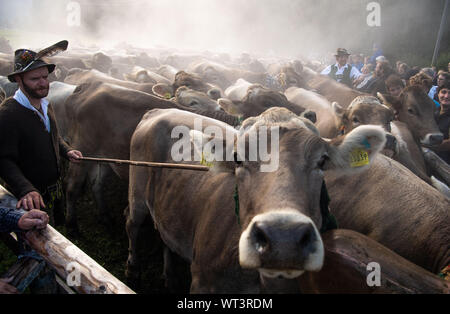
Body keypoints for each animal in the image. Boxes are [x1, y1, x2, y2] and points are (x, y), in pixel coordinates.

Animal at [126, 107, 386, 292]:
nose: (283, 238)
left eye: (322, 161)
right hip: (137, 188)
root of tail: (159, 110)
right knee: (132, 222)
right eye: (237, 158)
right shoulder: (202, 280)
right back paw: (131, 270)